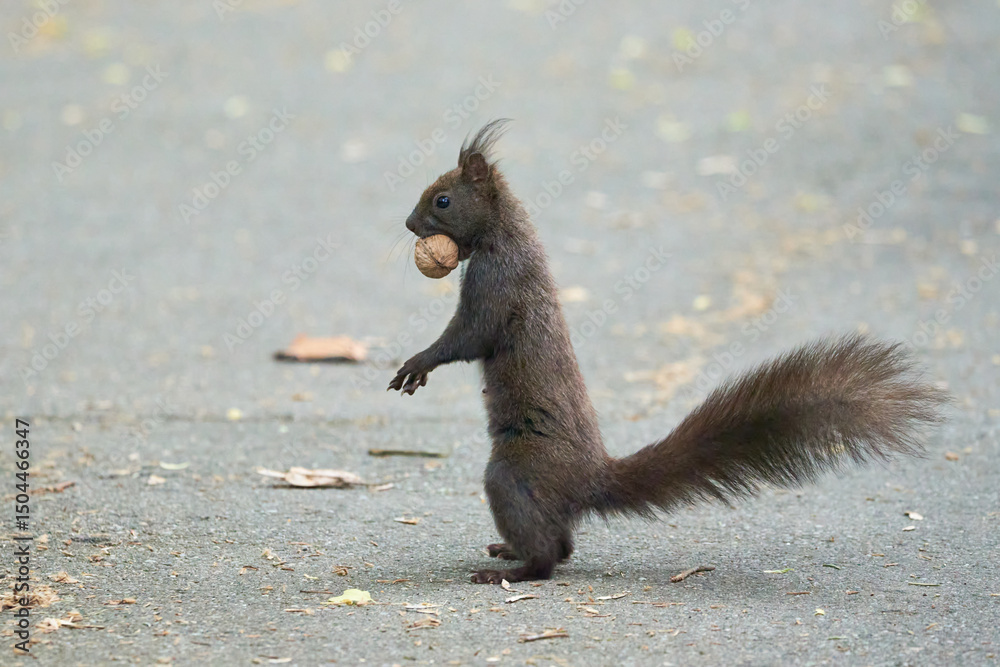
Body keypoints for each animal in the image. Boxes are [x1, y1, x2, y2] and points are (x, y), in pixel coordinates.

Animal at [388, 119, 947, 584]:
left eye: (442, 200)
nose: (410, 225)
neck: (503, 235)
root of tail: (590, 479)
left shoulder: (496, 286)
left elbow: (467, 336)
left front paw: (416, 365)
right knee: (564, 543)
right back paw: (509, 552)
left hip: (512, 474)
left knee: (550, 555)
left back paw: (513, 570)